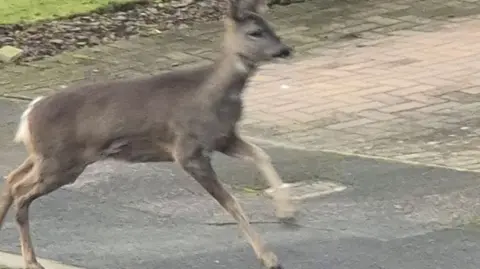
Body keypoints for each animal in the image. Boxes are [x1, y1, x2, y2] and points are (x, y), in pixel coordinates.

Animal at [0, 0, 298, 268]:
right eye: (254, 32)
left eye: (270, 26)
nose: (284, 49)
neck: (213, 93)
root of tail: (30, 112)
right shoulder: (187, 150)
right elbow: (231, 202)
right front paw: (269, 257)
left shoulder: (224, 138)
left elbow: (261, 155)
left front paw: (287, 213)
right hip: (61, 162)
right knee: (20, 191)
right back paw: (31, 261)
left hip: (45, 156)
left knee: (12, 178)